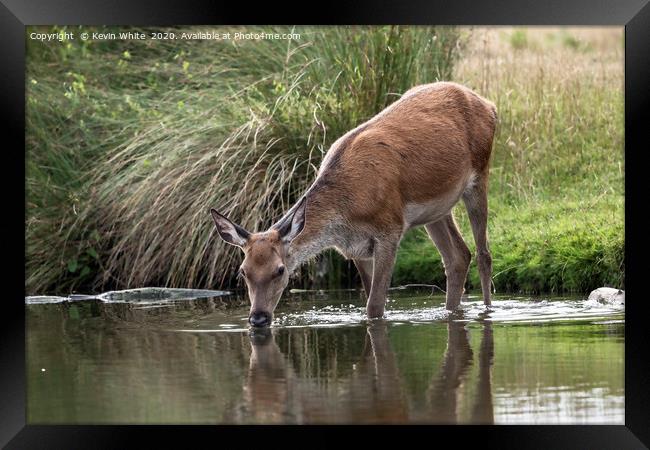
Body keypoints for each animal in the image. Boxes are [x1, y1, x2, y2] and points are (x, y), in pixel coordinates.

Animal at [210, 81, 494, 326]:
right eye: (243, 271)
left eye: (280, 270)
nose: (258, 318)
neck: (346, 212)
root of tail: (489, 104)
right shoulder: (356, 248)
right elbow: (371, 304)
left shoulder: (390, 230)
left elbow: (375, 306)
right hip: (436, 210)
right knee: (458, 256)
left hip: (480, 174)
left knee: (483, 254)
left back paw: (487, 310)